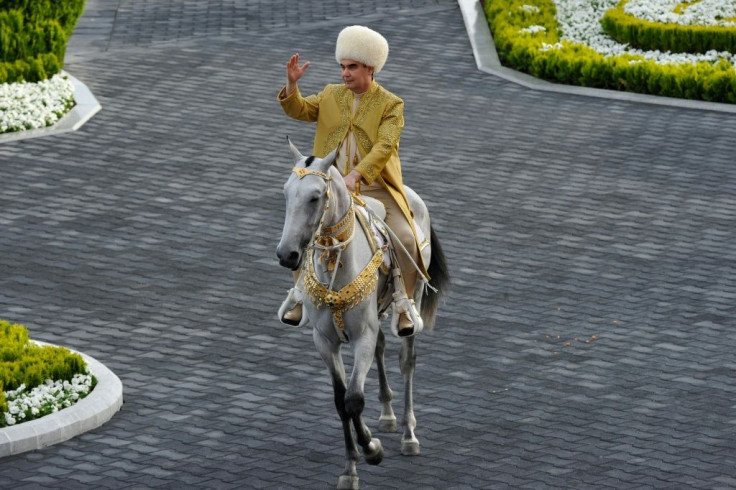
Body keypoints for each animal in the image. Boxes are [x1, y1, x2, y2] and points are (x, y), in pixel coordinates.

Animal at [276, 139, 448, 490]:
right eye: (286, 193)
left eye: (315, 197)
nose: (287, 255)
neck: (337, 265)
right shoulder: (325, 341)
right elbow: (341, 401)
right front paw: (350, 468)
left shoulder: (361, 338)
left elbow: (354, 398)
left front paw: (371, 450)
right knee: (383, 348)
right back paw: (387, 415)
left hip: (411, 300)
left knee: (407, 360)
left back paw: (408, 434)